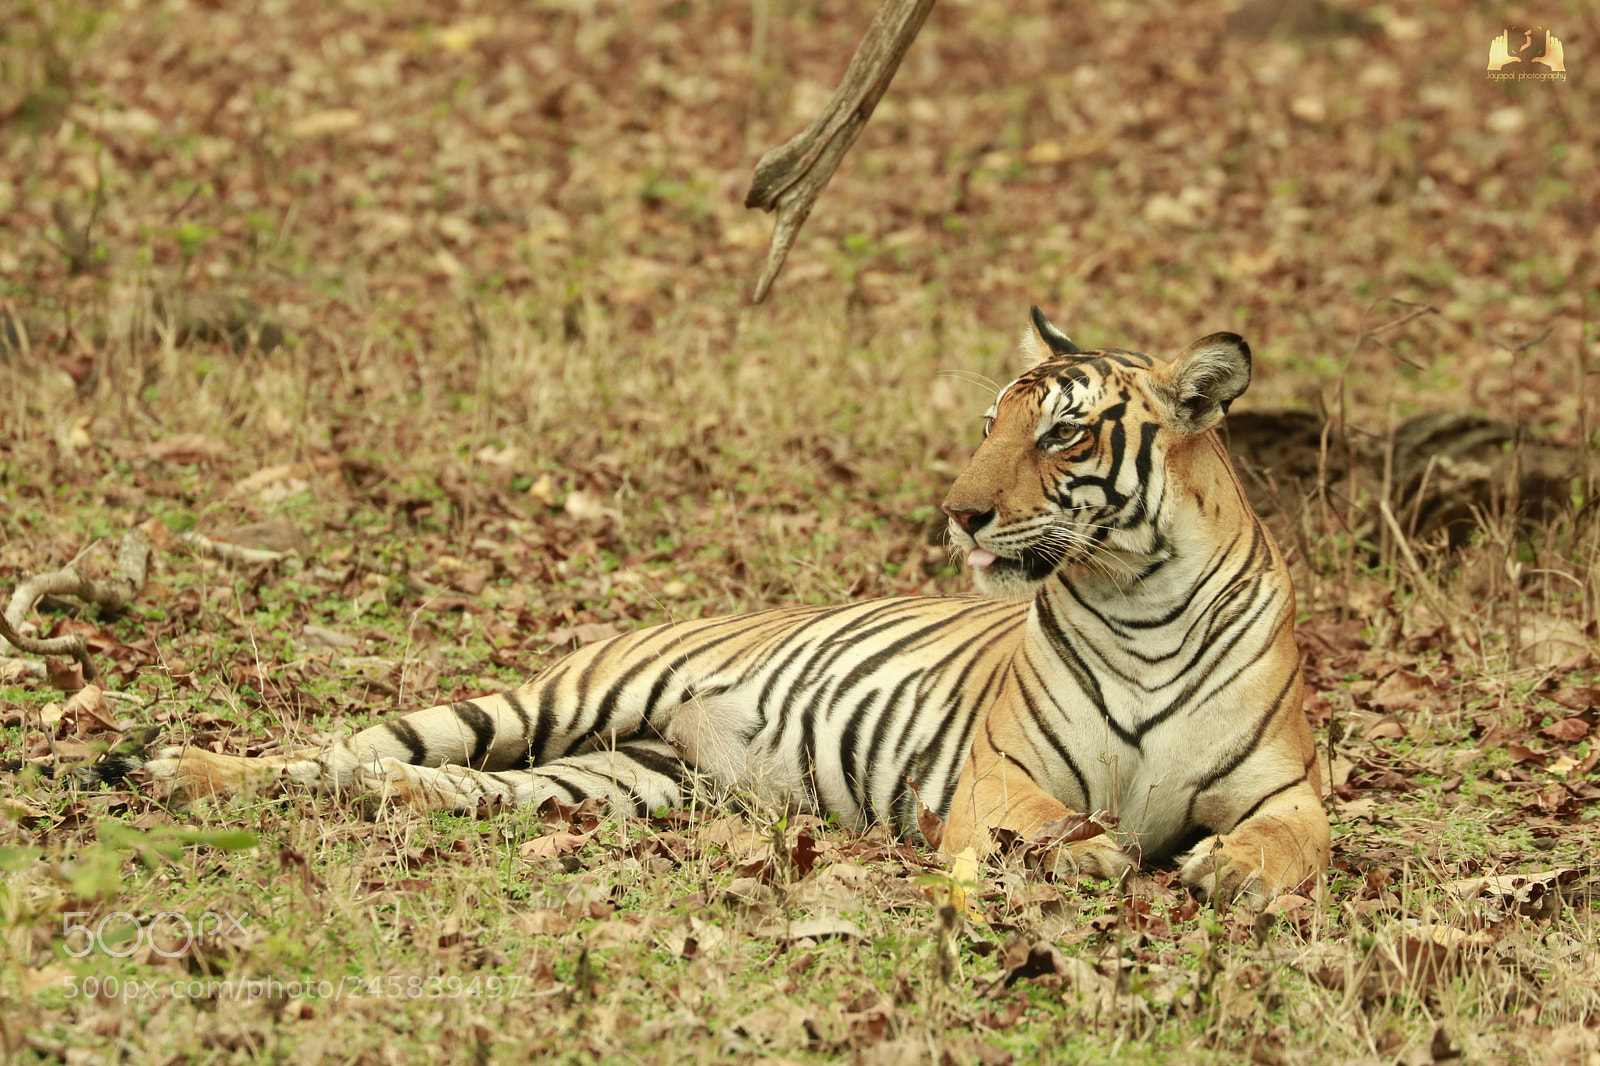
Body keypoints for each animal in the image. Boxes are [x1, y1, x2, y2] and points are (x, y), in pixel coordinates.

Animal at [135, 308, 1329, 906]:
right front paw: (1081, 856)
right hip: (547, 703)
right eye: (992, 422)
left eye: (1063, 434)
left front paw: (1228, 871)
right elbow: (1049, 822)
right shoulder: (1003, 772)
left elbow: (1292, 846)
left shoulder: (1287, 789)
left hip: (620, 781)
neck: (1142, 602)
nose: (958, 513)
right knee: (341, 747)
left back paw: (393, 801)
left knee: (428, 781)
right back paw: (176, 769)